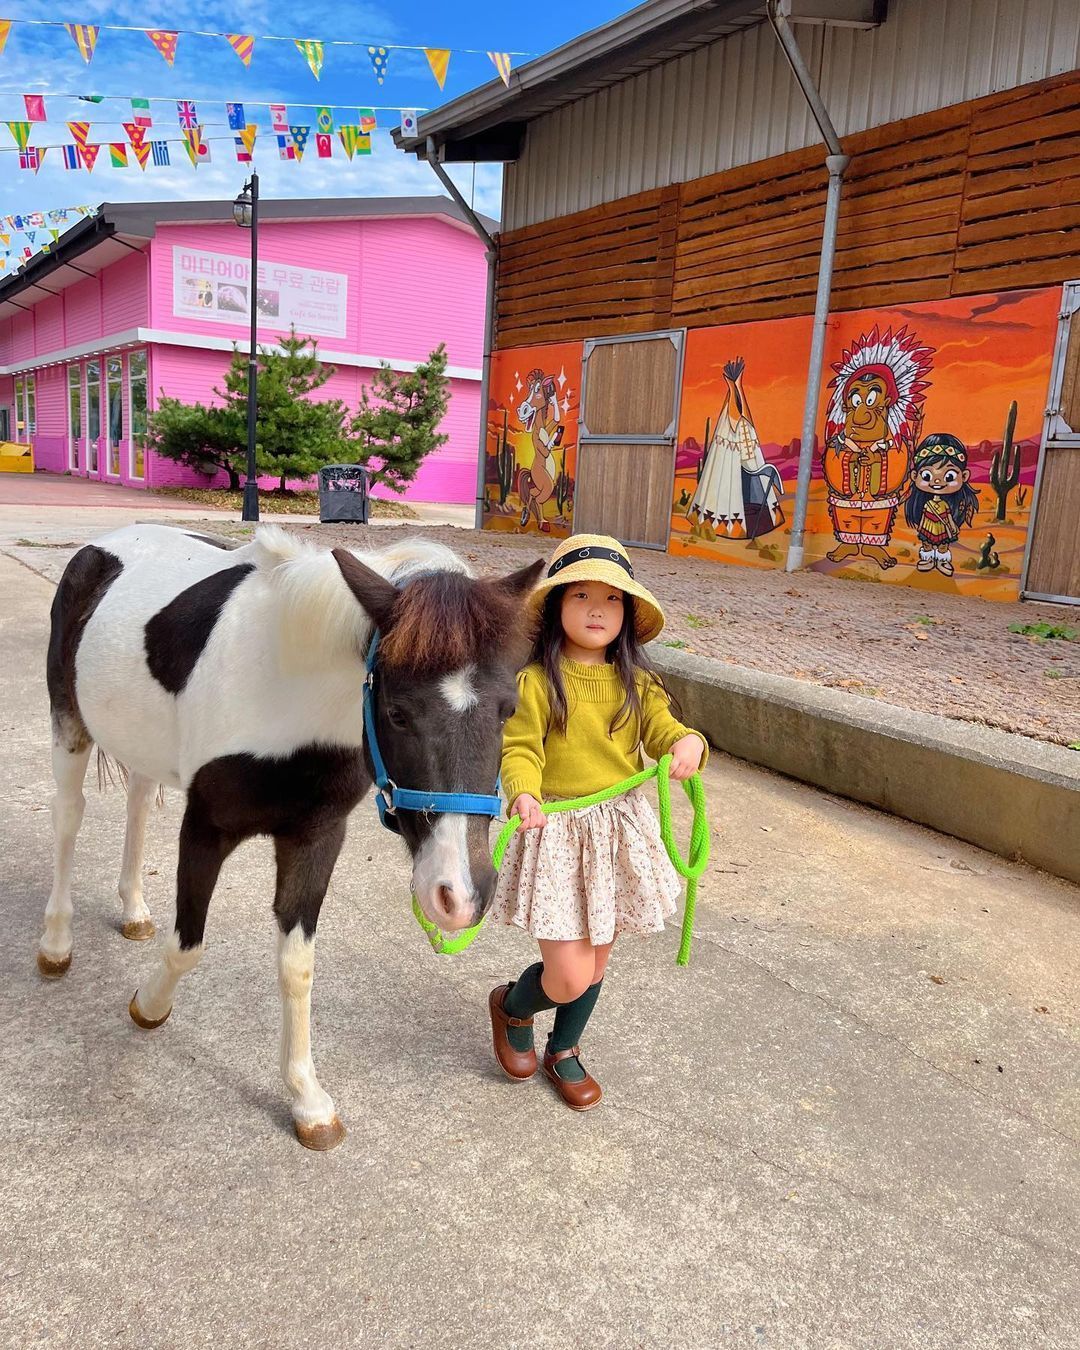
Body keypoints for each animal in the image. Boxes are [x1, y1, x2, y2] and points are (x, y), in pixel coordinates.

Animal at [42, 526, 540, 1150]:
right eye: (397, 713)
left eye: (507, 709)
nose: (460, 895)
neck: (282, 685)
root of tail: (102, 544)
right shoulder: (206, 827)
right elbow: (188, 945)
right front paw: (148, 1007)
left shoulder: (317, 836)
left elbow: (297, 966)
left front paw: (308, 1101)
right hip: (69, 723)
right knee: (68, 818)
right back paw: (55, 944)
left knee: (137, 799)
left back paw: (133, 909)